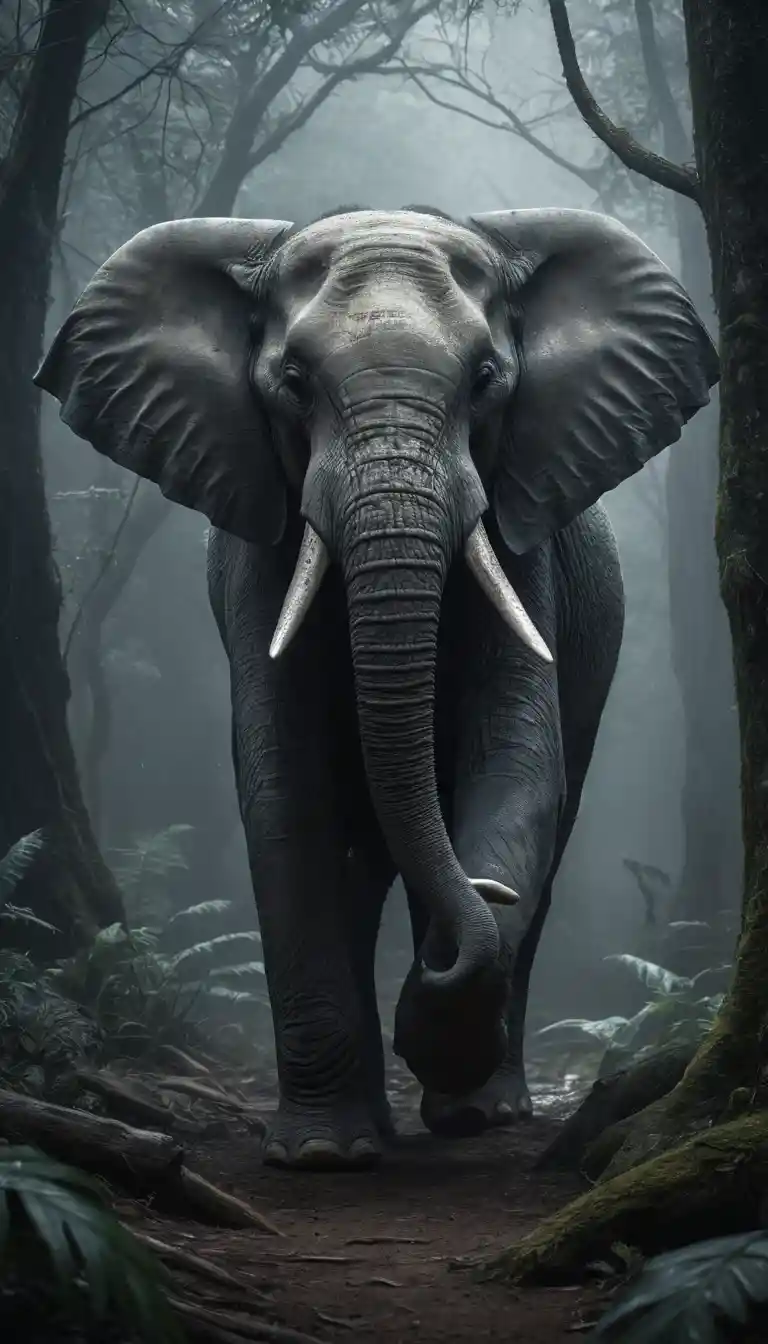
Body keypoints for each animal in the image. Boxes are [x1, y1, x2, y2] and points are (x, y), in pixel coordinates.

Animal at [36, 204, 718, 1170]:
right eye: (292, 383)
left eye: (486, 381)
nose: (463, 920)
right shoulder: (257, 552)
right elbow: (288, 794)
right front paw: (322, 1156)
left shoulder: (525, 545)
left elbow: (513, 768)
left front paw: (441, 1038)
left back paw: (482, 1110)